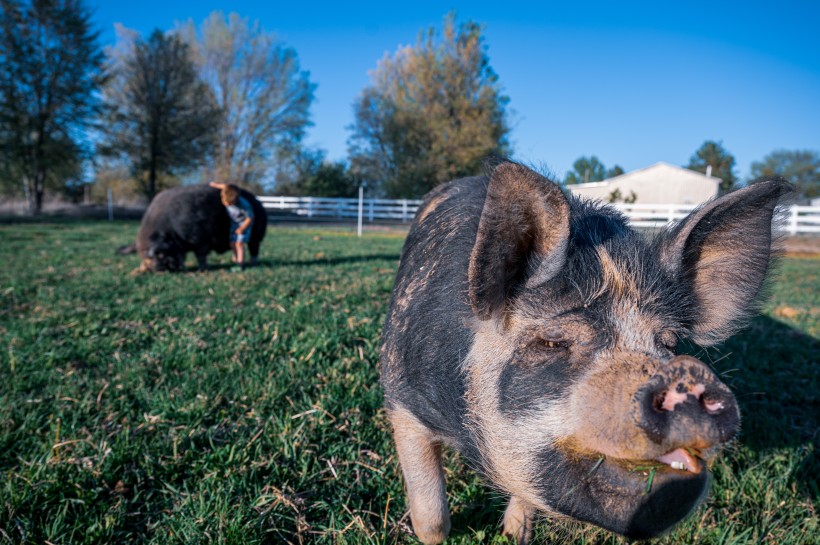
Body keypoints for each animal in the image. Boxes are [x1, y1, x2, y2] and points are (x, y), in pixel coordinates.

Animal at [117, 185, 266, 272]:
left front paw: (203, 269)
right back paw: (234, 261)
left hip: (256, 235)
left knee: (253, 248)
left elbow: (200, 255)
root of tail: (258, 202)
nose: (154, 269)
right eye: (142, 256)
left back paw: (252, 264)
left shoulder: (200, 239)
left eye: (159, 254)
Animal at [382, 162, 792, 544]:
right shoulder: (400, 398)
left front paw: (517, 536)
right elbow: (432, 517)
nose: (687, 377)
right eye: (553, 342)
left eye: (669, 344)